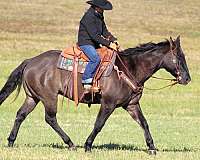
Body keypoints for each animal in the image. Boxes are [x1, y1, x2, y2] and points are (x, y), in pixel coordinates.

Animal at [0, 36, 191, 154]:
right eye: (179, 57)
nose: (187, 79)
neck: (130, 68)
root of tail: (30, 61)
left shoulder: (131, 105)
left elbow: (144, 123)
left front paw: (152, 147)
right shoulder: (108, 104)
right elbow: (99, 124)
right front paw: (88, 145)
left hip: (33, 98)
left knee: (20, 115)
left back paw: (11, 141)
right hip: (49, 98)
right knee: (50, 118)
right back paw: (70, 143)